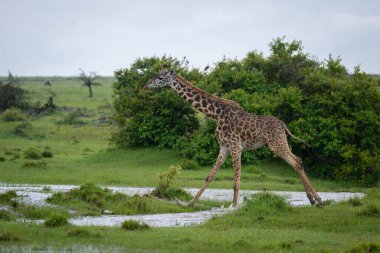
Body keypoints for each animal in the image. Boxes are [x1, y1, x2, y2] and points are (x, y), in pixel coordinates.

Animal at [144, 67, 322, 208]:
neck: (215, 114)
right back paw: (312, 200)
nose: (145, 86)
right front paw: (187, 203)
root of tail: (283, 125)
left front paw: (234, 206)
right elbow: (210, 176)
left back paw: (319, 200)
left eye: (160, 78)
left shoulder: (236, 146)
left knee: (295, 162)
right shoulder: (224, 147)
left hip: (275, 144)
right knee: (298, 160)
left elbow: (236, 180)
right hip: (280, 142)